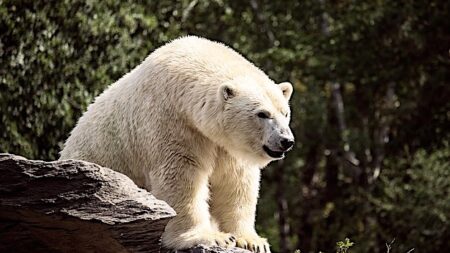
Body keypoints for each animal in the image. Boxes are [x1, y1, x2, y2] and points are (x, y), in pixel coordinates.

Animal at [60, 36, 296, 253]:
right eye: (262, 114)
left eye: (285, 113)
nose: (286, 141)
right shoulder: (171, 121)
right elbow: (181, 177)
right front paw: (210, 237)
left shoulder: (225, 144)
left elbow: (236, 181)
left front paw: (251, 241)